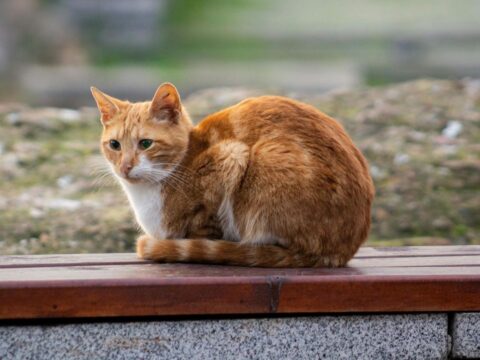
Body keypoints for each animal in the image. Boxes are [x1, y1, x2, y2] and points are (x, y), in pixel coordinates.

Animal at [91, 82, 376, 268]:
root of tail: (340, 251)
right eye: (114, 145)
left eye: (146, 144)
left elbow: (204, 229)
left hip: (263, 164)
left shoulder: (229, 156)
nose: (125, 167)